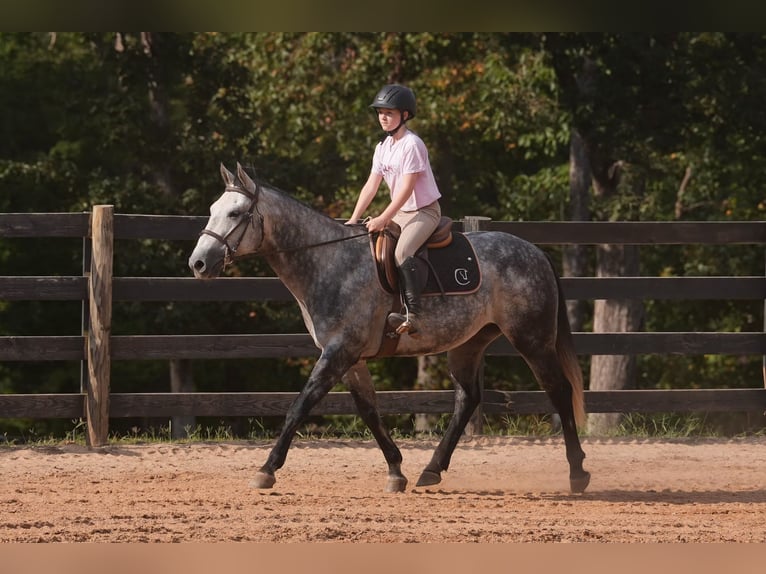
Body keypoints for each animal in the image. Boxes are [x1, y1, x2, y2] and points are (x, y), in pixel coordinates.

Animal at [188, 163, 591, 494]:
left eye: (236, 213)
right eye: (212, 211)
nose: (198, 263)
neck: (330, 261)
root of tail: (536, 252)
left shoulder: (339, 352)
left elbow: (300, 406)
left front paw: (267, 469)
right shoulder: (351, 357)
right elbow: (368, 411)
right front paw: (396, 471)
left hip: (532, 339)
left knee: (558, 390)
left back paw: (577, 473)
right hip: (469, 343)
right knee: (467, 399)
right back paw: (432, 470)